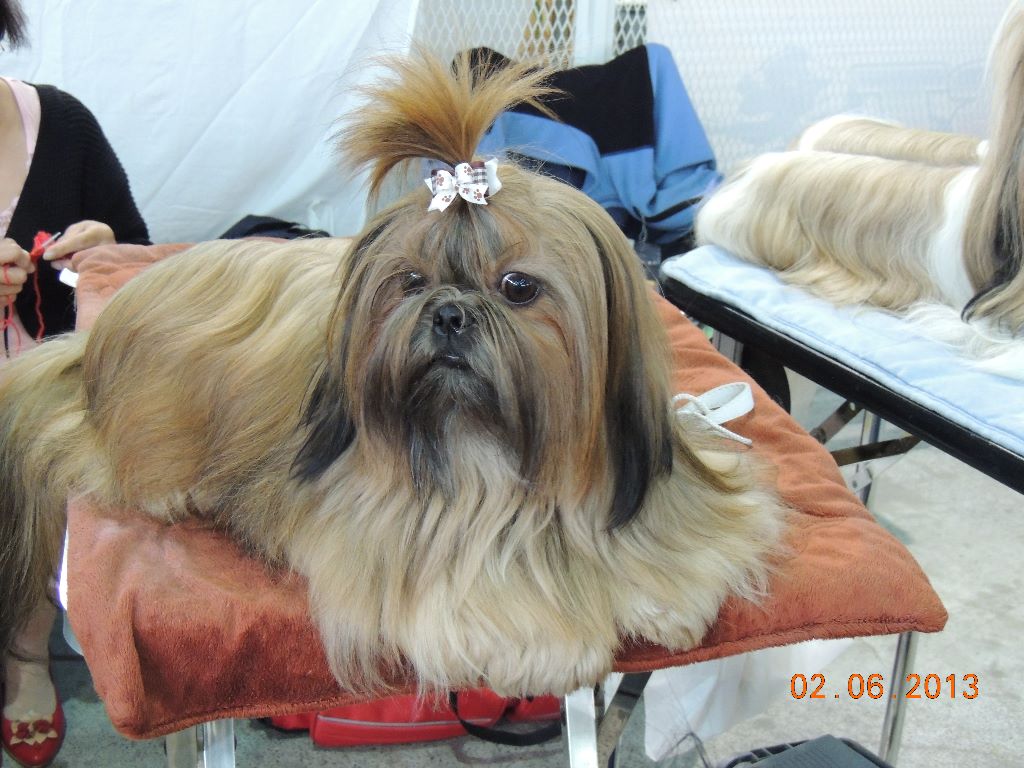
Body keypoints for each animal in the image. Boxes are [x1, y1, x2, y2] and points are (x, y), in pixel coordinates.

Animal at [0, 50, 786, 698]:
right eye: (410, 282)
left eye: (518, 287)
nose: (449, 313)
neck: (492, 458)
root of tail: (99, 333)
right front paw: (548, 647)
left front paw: (666, 598)